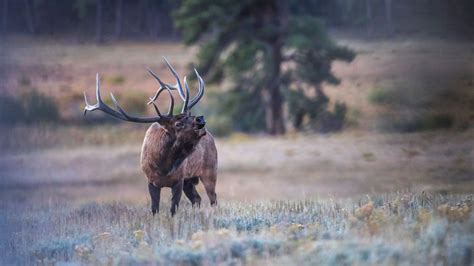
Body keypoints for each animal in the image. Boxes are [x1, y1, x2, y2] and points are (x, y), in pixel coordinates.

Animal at [84, 58, 218, 216]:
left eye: (189, 115)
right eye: (178, 123)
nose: (200, 119)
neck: (164, 166)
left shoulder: (179, 180)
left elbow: (173, 209)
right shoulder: (151, 181)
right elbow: (154, 209)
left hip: (209, 171)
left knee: (213, 198)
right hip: (190, 180)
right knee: (197, 198)